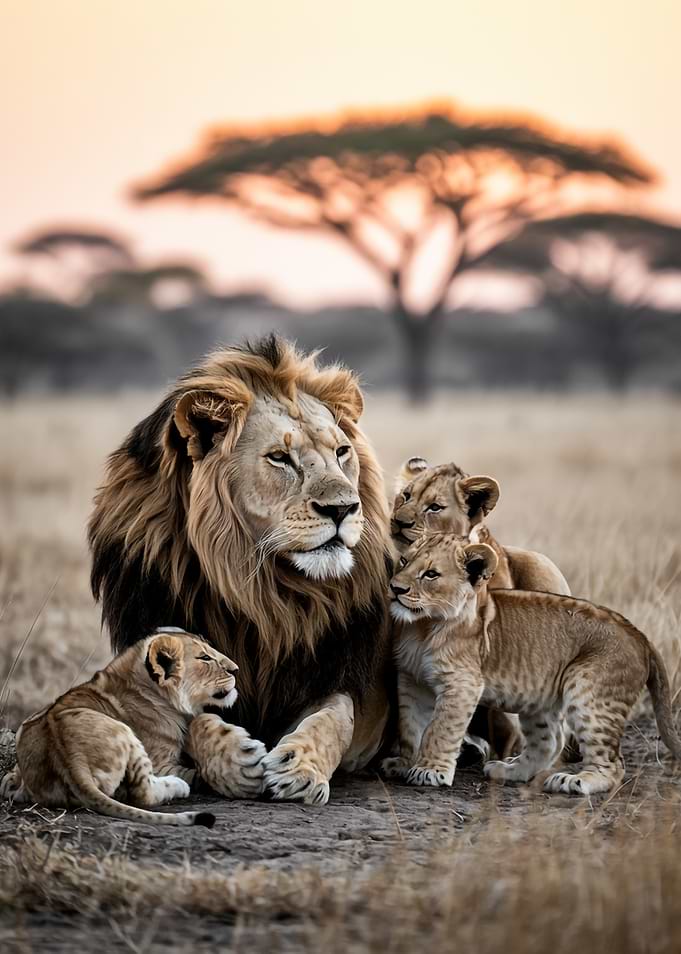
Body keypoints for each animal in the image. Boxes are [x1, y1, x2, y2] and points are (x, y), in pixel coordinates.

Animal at [0, 628, 254, 825]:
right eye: (205, 658)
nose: (236, 669)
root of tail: (70, 760)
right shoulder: (162, 763)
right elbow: (195, 773)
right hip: (126, 734)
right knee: (143, 794)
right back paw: (177, 786)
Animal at [88, 336, 393, 805]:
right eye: (280, 458)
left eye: (342, 452)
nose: (343, 508)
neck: (267, 595)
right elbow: (189, 715)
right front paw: (233, 759)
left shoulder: (343, 677)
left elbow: (335, 718)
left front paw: (300, 767)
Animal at [382, 533, 681, 796]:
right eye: (404, 561)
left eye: (431, 574)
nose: (395, 588)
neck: (421, 627)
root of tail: (641, 637)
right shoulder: (411, 680)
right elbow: (410, 727)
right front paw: (404, 764)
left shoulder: (462, 683)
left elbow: (440, 729)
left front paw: (430, 771)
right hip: (540, 698)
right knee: (550, 742)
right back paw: (508, 770)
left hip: (589, 692)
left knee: (613, 763)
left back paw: (575, 781)